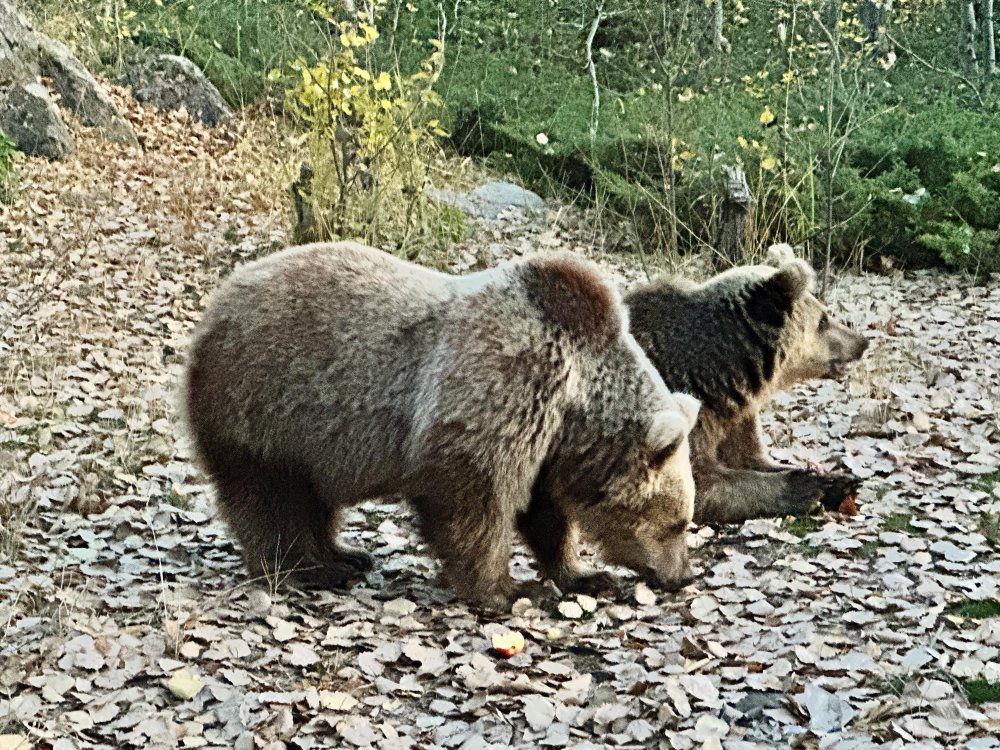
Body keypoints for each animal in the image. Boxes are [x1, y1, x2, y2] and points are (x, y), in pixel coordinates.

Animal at [184, 242, 700, 612]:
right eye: (678, 523)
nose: (682, 576)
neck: (575, 403)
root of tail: (216, 305)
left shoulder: (547, 444)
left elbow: (545, 513)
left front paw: (586, 575)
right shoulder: (504, 383)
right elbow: (473, 494)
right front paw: (507, 589)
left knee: (311, 501)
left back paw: (344, 554)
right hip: (266, 407)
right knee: (272, 497)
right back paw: (307, 569)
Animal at [624, 244, 868, 524]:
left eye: (825, 313)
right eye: (823, 320)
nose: (862, 342)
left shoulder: (734, 416)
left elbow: (750, 456)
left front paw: (838, 479)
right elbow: (699, 483)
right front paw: (806, 485)